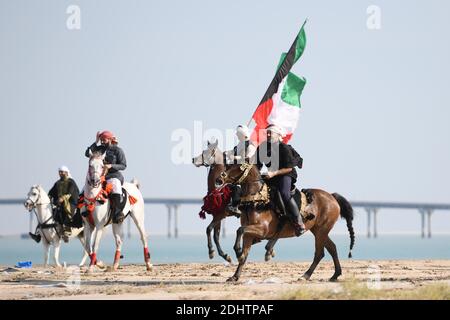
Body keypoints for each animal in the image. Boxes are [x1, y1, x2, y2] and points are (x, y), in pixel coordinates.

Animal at [221, 162, 356, 282]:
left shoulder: (262, 229)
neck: (256, 200)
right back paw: (335, 274)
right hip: (318, 231)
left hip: (321, 231)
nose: (220, 178)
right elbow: (244, 254)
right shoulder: (249, 234)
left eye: (237, 166)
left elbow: (240, 231)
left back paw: (306, 275)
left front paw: (238, 251)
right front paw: (235, 276)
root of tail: (332, 197)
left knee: (319, 253)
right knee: (332, 248)